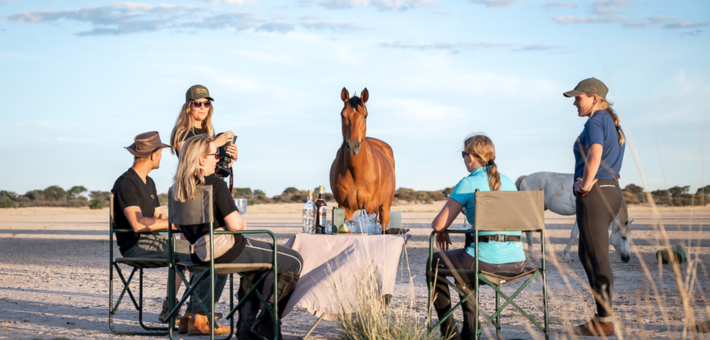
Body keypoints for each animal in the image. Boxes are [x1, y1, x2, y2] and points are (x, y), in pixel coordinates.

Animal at [330, 87, 398, 230]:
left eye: (365, 115)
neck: (356, 171)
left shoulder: (371, 207)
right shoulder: (345, 208)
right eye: (342, 115)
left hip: (385, 206)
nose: (353, 146)